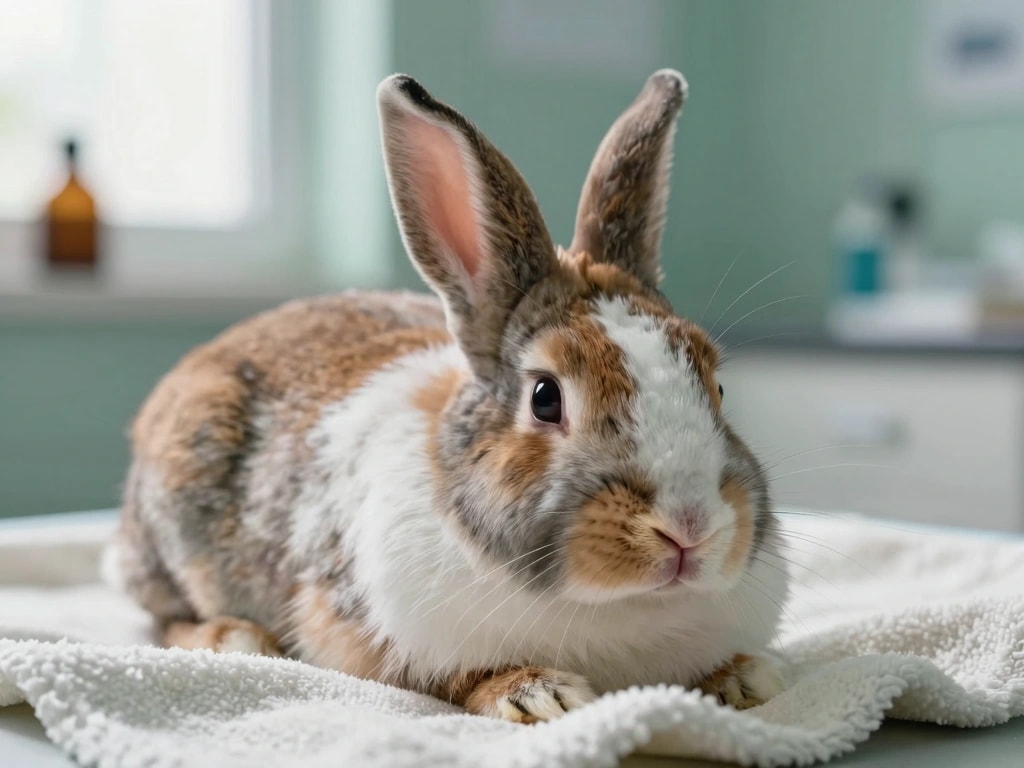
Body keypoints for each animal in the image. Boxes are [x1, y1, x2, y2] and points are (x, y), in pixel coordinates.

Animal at [107, 68, 789, 723]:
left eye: (717, 385)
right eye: (545, 397)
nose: (689, 528)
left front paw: (746, 678)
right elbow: (458, 677)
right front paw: (539, 694)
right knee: (160, 615)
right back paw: (236, 637)